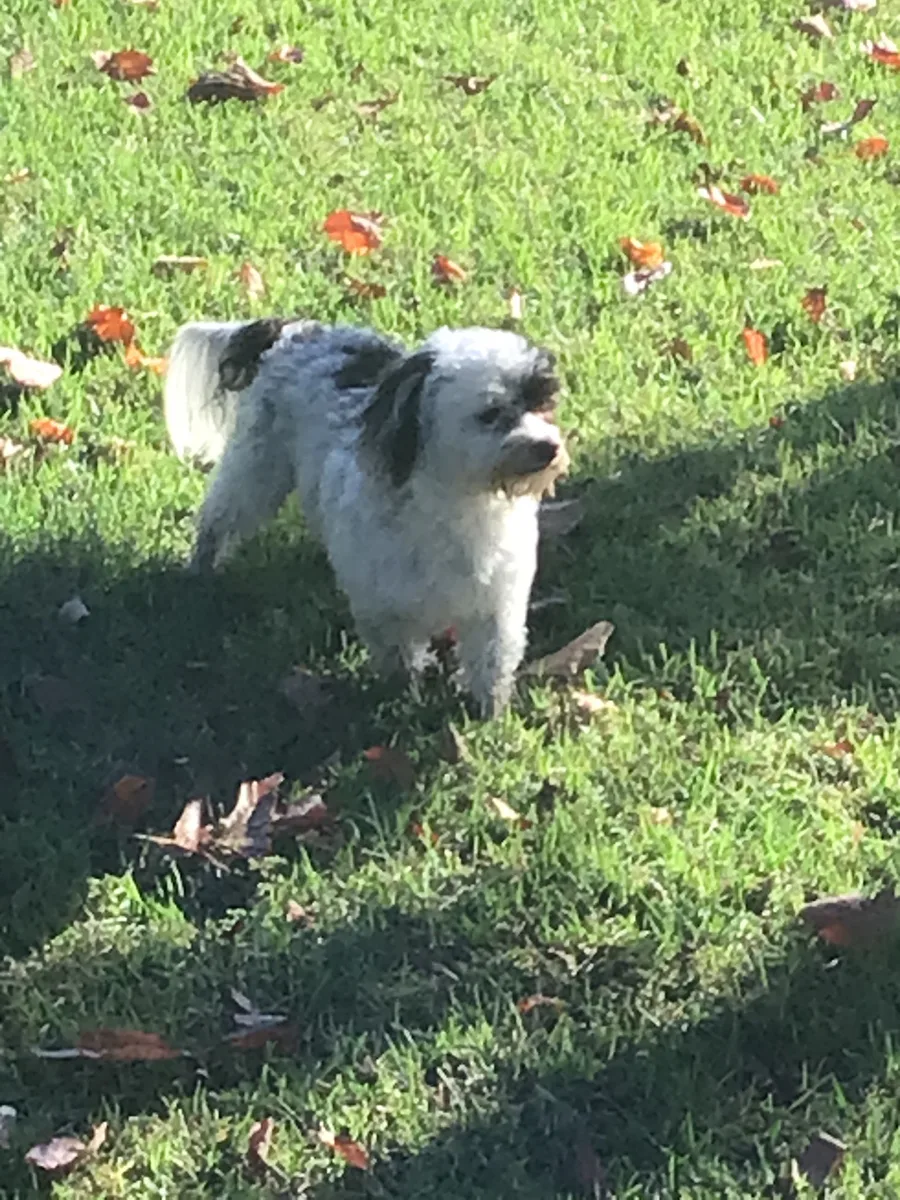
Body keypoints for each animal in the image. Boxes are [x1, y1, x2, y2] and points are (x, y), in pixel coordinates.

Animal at [163, 318, 569, 716]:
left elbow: (491, 664)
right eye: (491, 414)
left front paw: (491, 716)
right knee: (218, 518)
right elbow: (399, 662)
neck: (459, 504)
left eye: (541, 403)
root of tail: (297, 328)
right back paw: (200, 570)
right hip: (256, 471)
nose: (548, 448)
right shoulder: (384, 609)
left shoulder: (495, 606)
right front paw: (404, 702)